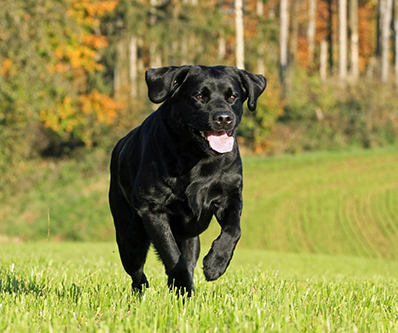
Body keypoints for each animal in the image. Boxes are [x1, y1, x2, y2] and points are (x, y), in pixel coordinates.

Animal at [109, 65, 268, 296]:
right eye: (199, 96)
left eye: (232, 97)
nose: (223, 118)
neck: (197, 158)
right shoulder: (152, 209)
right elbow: (172, 256)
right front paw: (184, 286)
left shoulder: (230, 197)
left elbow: (234, 230)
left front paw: (215, 264)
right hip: (129, 236)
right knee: (137, 273)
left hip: (190, 238)